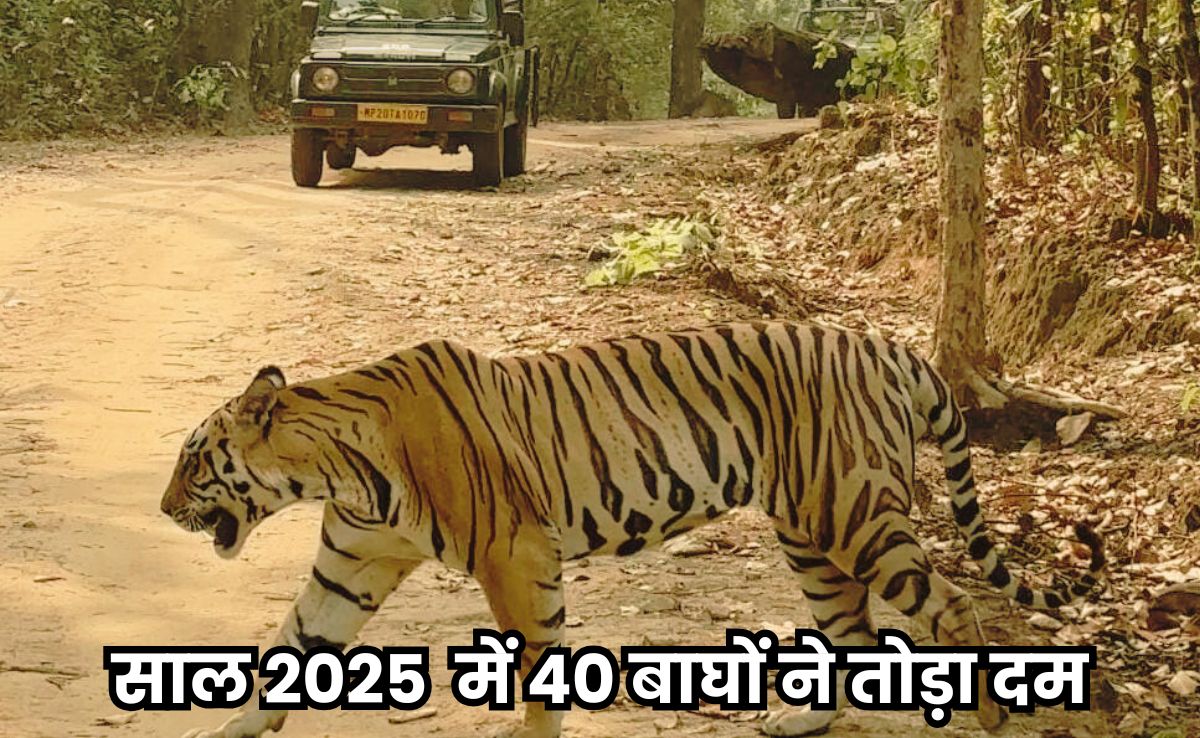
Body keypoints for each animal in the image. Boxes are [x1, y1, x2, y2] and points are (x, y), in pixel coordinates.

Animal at [161, 320, 1104, 738]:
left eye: (193, 458)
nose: (162, 508)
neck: (337, 464)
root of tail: (890, 347)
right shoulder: (350, 563)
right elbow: (287, 649)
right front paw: (229, 733)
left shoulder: (516, 553)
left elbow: (537, 666)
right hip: (811, 530)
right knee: (852, 631)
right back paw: (799, 722)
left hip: (856, 513)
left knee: (948, 605)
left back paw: (990, 718)